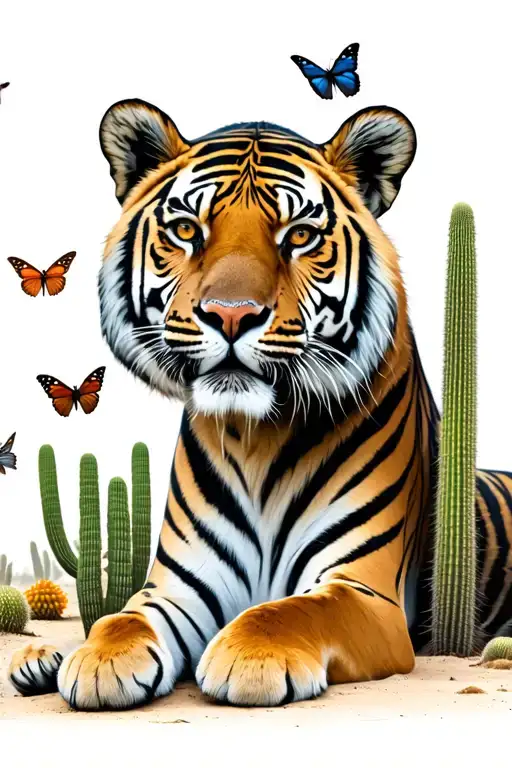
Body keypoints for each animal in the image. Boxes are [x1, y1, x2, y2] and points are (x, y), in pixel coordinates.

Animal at [10, 99, 512, 710]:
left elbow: (289, 611)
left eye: (300, 236)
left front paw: (248, 659)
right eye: (186, 230)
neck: (257, 438)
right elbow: (121, 618)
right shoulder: (179, 586)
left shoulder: (363, 587)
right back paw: (43, 657)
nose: (231, 315)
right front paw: (101, 662)